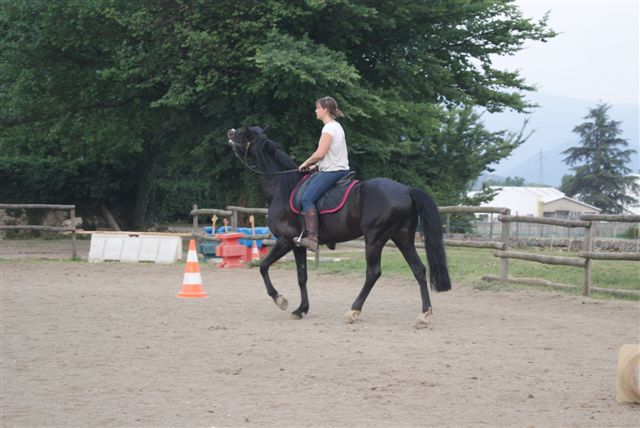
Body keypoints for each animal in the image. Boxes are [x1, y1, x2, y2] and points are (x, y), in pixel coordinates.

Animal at [226, 126, 451, 328]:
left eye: (242, 134)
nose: (230, 132)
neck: (283, 188)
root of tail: (406, 190)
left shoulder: (286, 240)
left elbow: (263, 266)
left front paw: (280, 299)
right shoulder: (298, 245)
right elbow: (302, 277)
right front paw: (301, 310)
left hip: (374, 239)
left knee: (373, 273)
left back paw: (353, 311)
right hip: (402, 238)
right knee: (419, 269)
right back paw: (424, 314)